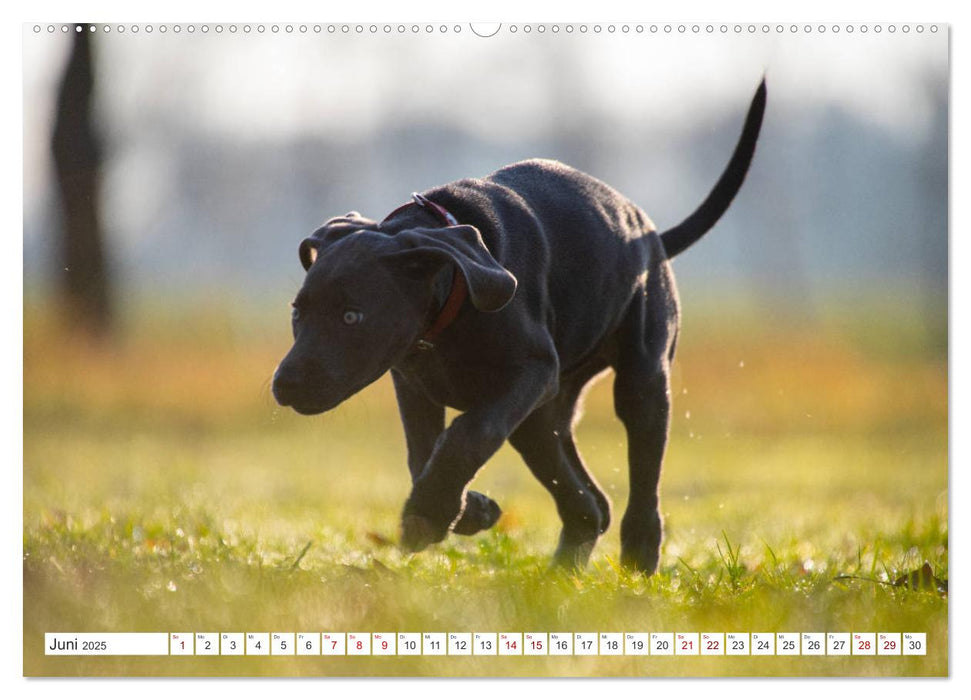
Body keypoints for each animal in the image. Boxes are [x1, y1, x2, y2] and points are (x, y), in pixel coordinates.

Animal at [274, 80, 768, 576]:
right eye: (297, 313)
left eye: (352, 316)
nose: (284, 386)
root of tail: (649, 235)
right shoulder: (412, 383)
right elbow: (422, 451)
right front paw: (466, 510)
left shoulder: (528, 373)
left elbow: (466, 434)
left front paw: (429, 511)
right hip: (546, 412)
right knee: (589, 501)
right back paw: (564, 567)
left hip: (639, 376)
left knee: (638, 476)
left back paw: (638, 557)